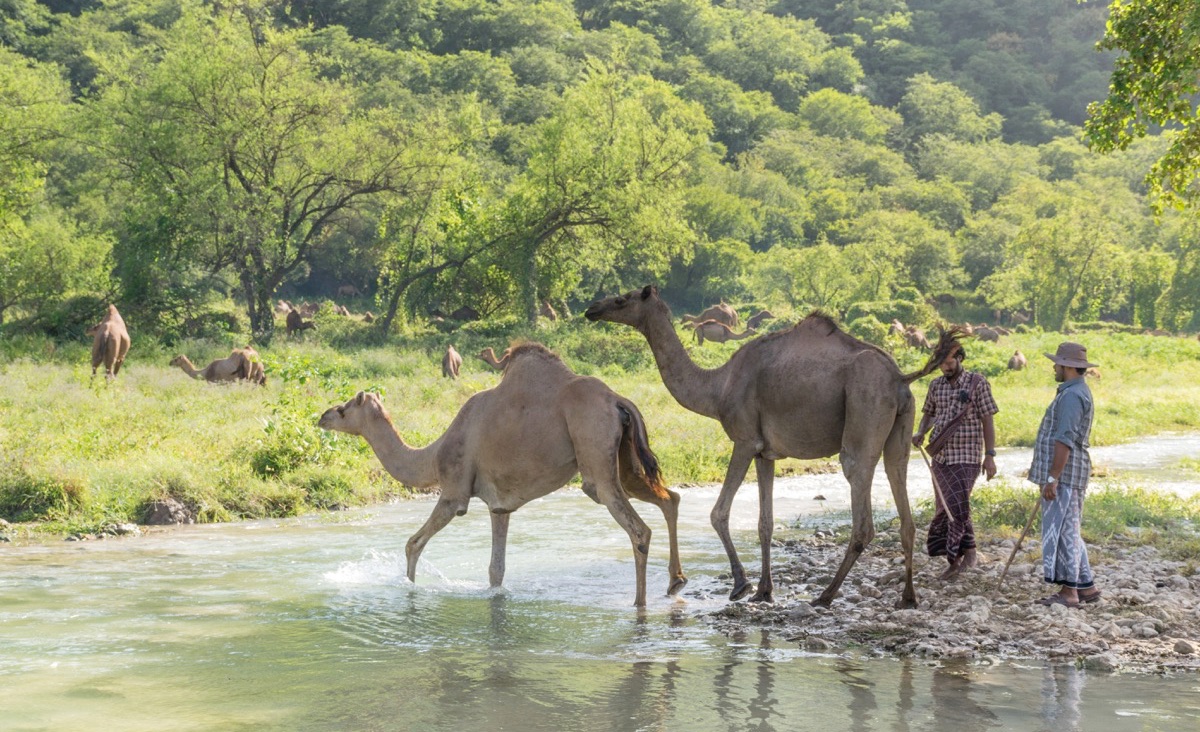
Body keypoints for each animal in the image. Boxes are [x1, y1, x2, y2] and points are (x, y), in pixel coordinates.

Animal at [319, 340, 691, 604]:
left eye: (344, 408)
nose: (322, 416)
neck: (433, 455)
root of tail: (618, 400)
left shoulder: (453, 492)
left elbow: (414, 543)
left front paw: (408, 588)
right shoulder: (499, 506)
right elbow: (495, 570)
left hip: (596, 460)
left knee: (639, 530)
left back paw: (639, 604)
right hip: (625, 462)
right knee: (669, 497)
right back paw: (675, 581)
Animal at [585, 283, 950, 604]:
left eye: (622, 299)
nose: (592, 309)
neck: (718, 387)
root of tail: (900, 378)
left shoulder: (745, 439)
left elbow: (719, 512)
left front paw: (741, 585)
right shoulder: (767, 453)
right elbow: (765, 523)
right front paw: (764, 590)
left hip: (865, 408)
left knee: (861, 510)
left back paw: (825, 596)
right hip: (901, 427)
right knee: (902, 499)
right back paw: (908, 597)